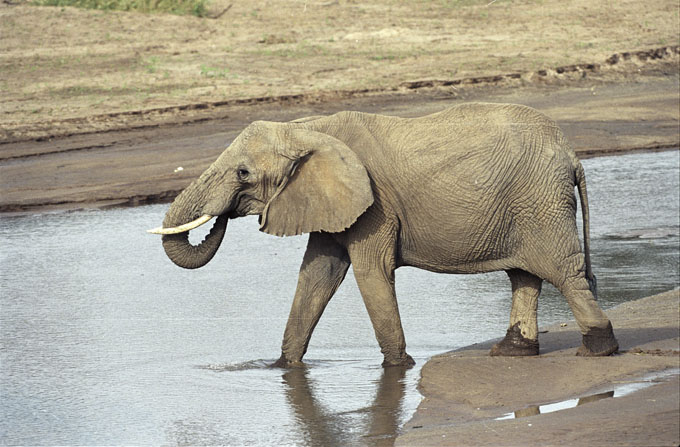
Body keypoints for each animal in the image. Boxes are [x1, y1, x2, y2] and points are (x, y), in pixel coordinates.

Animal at [150, 104, 620, 368]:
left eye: (243, 174)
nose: (223, 215)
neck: (308, 127)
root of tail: (572, 154)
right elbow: (317, 275)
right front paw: (280, 367)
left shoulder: (374, 207)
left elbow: (369, 273)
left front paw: (400, 368)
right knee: (524, 275)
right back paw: (511, 354)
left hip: (539, 201)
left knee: (563, 273)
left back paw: (598, 350)